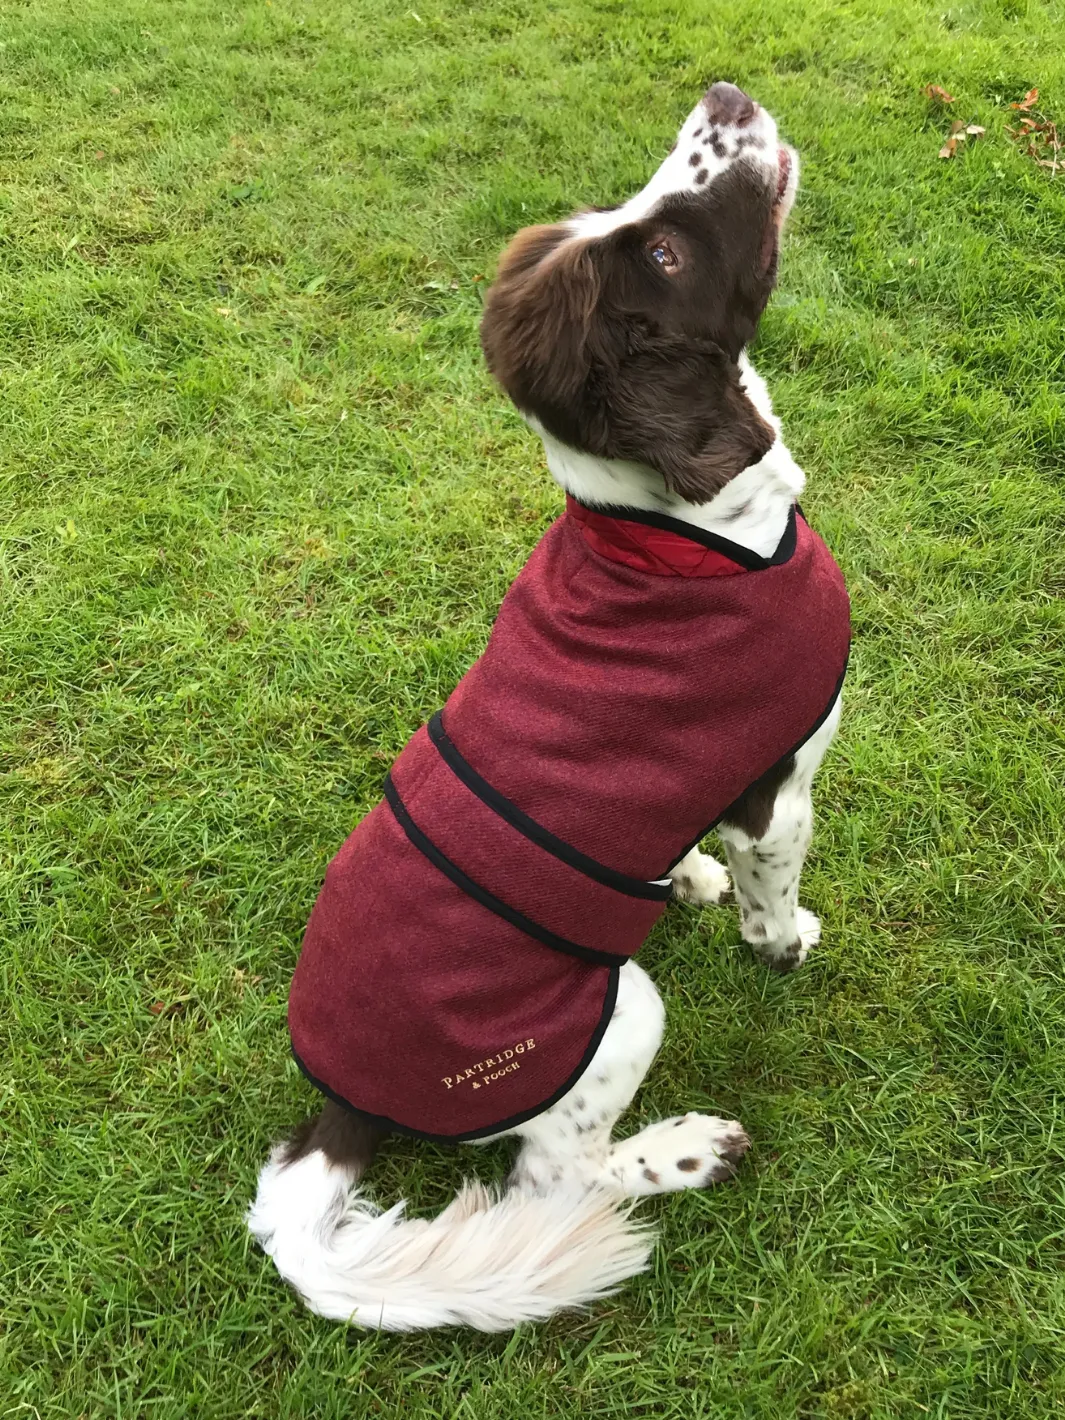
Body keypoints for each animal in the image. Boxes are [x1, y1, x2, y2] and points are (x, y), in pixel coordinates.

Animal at [248, 83, 852, 1329]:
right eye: (665, 253)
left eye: (629, 220)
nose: (724, 96)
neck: (678, 530)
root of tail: (340, 1110)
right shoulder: (780, 790)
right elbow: (773, 901)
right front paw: (784, 943)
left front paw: (699, 879)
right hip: (612, 1017)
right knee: (554, 1175)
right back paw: (686, 1149)